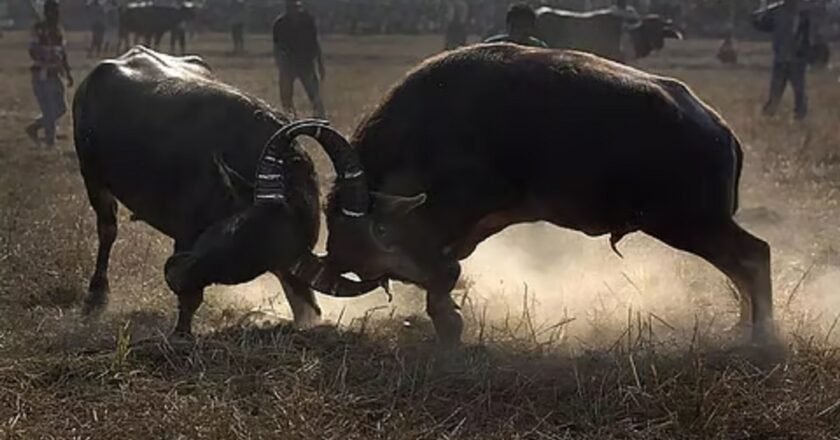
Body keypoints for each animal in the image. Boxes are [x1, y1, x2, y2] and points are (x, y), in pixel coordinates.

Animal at [73, 46, 381, 336]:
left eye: (249, 265)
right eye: (232, 228)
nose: (175, 276)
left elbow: (306, 306)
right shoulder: (186, 232)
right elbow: (191, 299)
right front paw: (181, 332)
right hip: (92, 177)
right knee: (107, 229)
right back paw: (96, 296)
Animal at [267, 44, 774, 347]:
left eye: (360, 229)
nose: (337, 260)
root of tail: (719, 130)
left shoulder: (459, 210)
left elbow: (439, 272)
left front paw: (449, 323)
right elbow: (445, 270)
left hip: (688, 221)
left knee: (753, 256)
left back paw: (762, 338)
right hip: (694, 224)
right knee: (740, 266)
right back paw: (741, 329)